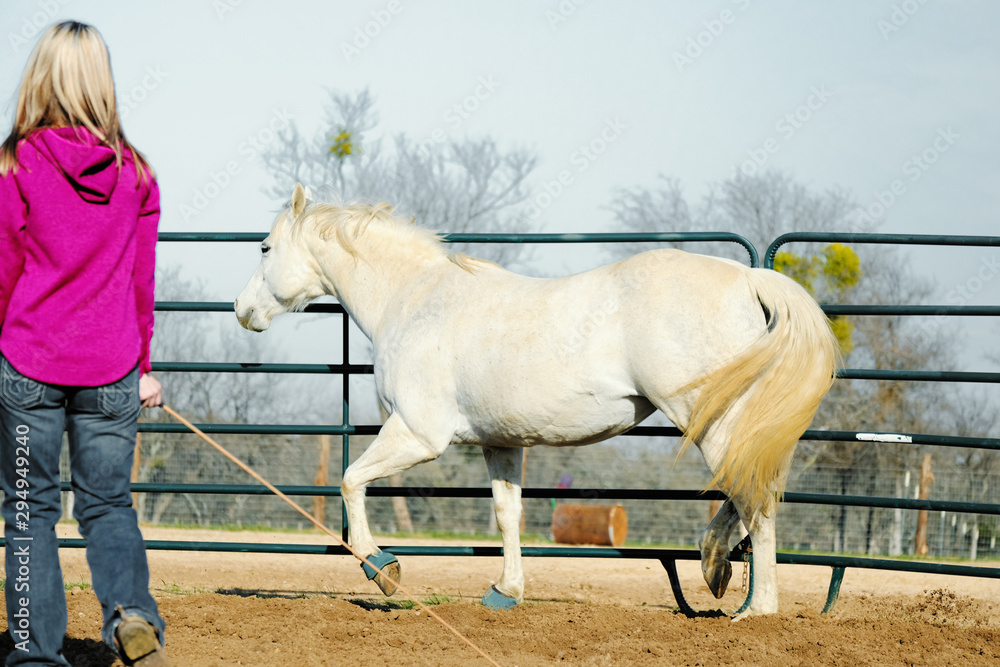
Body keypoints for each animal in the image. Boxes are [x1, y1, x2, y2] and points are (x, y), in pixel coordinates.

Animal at [234, 183, 838, 619]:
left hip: (705, 417)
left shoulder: (418, 434)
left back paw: (755, 607)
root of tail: (747, 275)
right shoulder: (501, 443)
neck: (414, 299)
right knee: (749, 489)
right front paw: (507, 590)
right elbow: (508, 516)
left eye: (264, 247)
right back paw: (715, 565)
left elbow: (351, 480)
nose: (243, 310)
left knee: (753, 494)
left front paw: (383, 568)